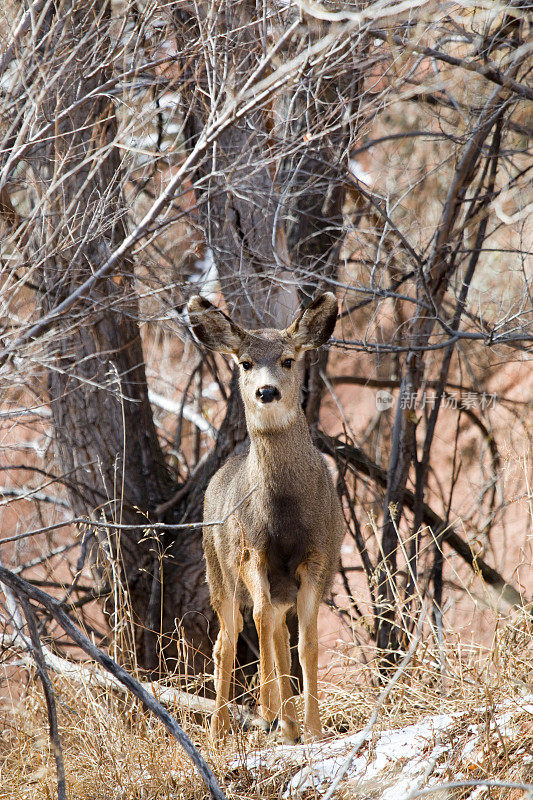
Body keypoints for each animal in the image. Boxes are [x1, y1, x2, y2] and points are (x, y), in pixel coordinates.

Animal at [187, 294, 344, 744]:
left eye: (289, 360)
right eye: (244, 362)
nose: (266, 390)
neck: (285, 517)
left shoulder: (317, 559)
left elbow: (306, 643)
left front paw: (312, 729)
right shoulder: (251, 553)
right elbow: (258, 626)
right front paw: (278, 718)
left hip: (278, 586)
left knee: (276, 632)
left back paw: (281, 717)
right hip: (217, 571)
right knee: (229, 638)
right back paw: (223, 728)